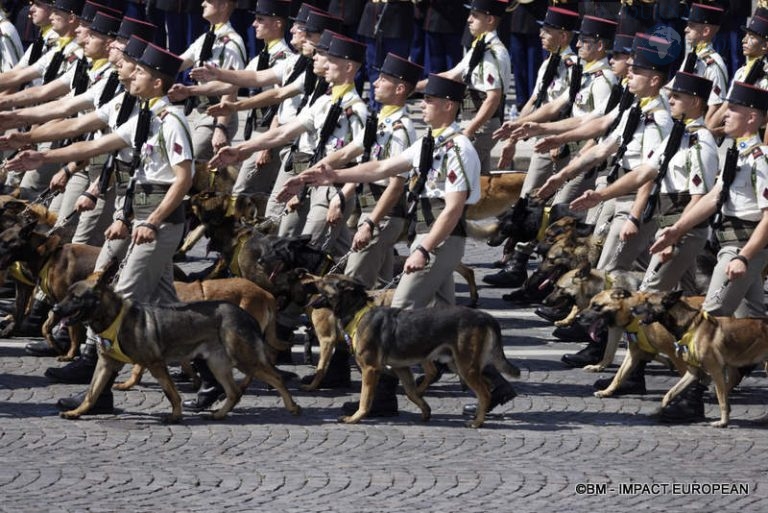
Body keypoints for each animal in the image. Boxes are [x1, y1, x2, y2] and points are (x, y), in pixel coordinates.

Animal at [51, 262, 300, 422]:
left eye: (75, 298)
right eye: (67, 295)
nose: (54, 308)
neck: (113, 317)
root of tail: (246, 313)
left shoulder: (155, 364)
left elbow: (171, 393)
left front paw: (175, 415)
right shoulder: (106, 365)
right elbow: (92, 393)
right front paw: (77, 412)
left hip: (243, 358)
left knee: (275, 377)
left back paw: (292, 406)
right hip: (218, 363)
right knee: (234, 392)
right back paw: (219, 413)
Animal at [308, 274, 520, 426]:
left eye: (325, 280)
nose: (309, 279)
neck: (358, 312)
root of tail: (485, 316)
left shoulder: (370, 369)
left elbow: (365, 399)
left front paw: (355, 418)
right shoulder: (401, 368)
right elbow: (412, 393)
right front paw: (426, 411)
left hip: (465, 366)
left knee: (484, 393)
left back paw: (477, 421)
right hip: (459, 363)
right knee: (487, 385)